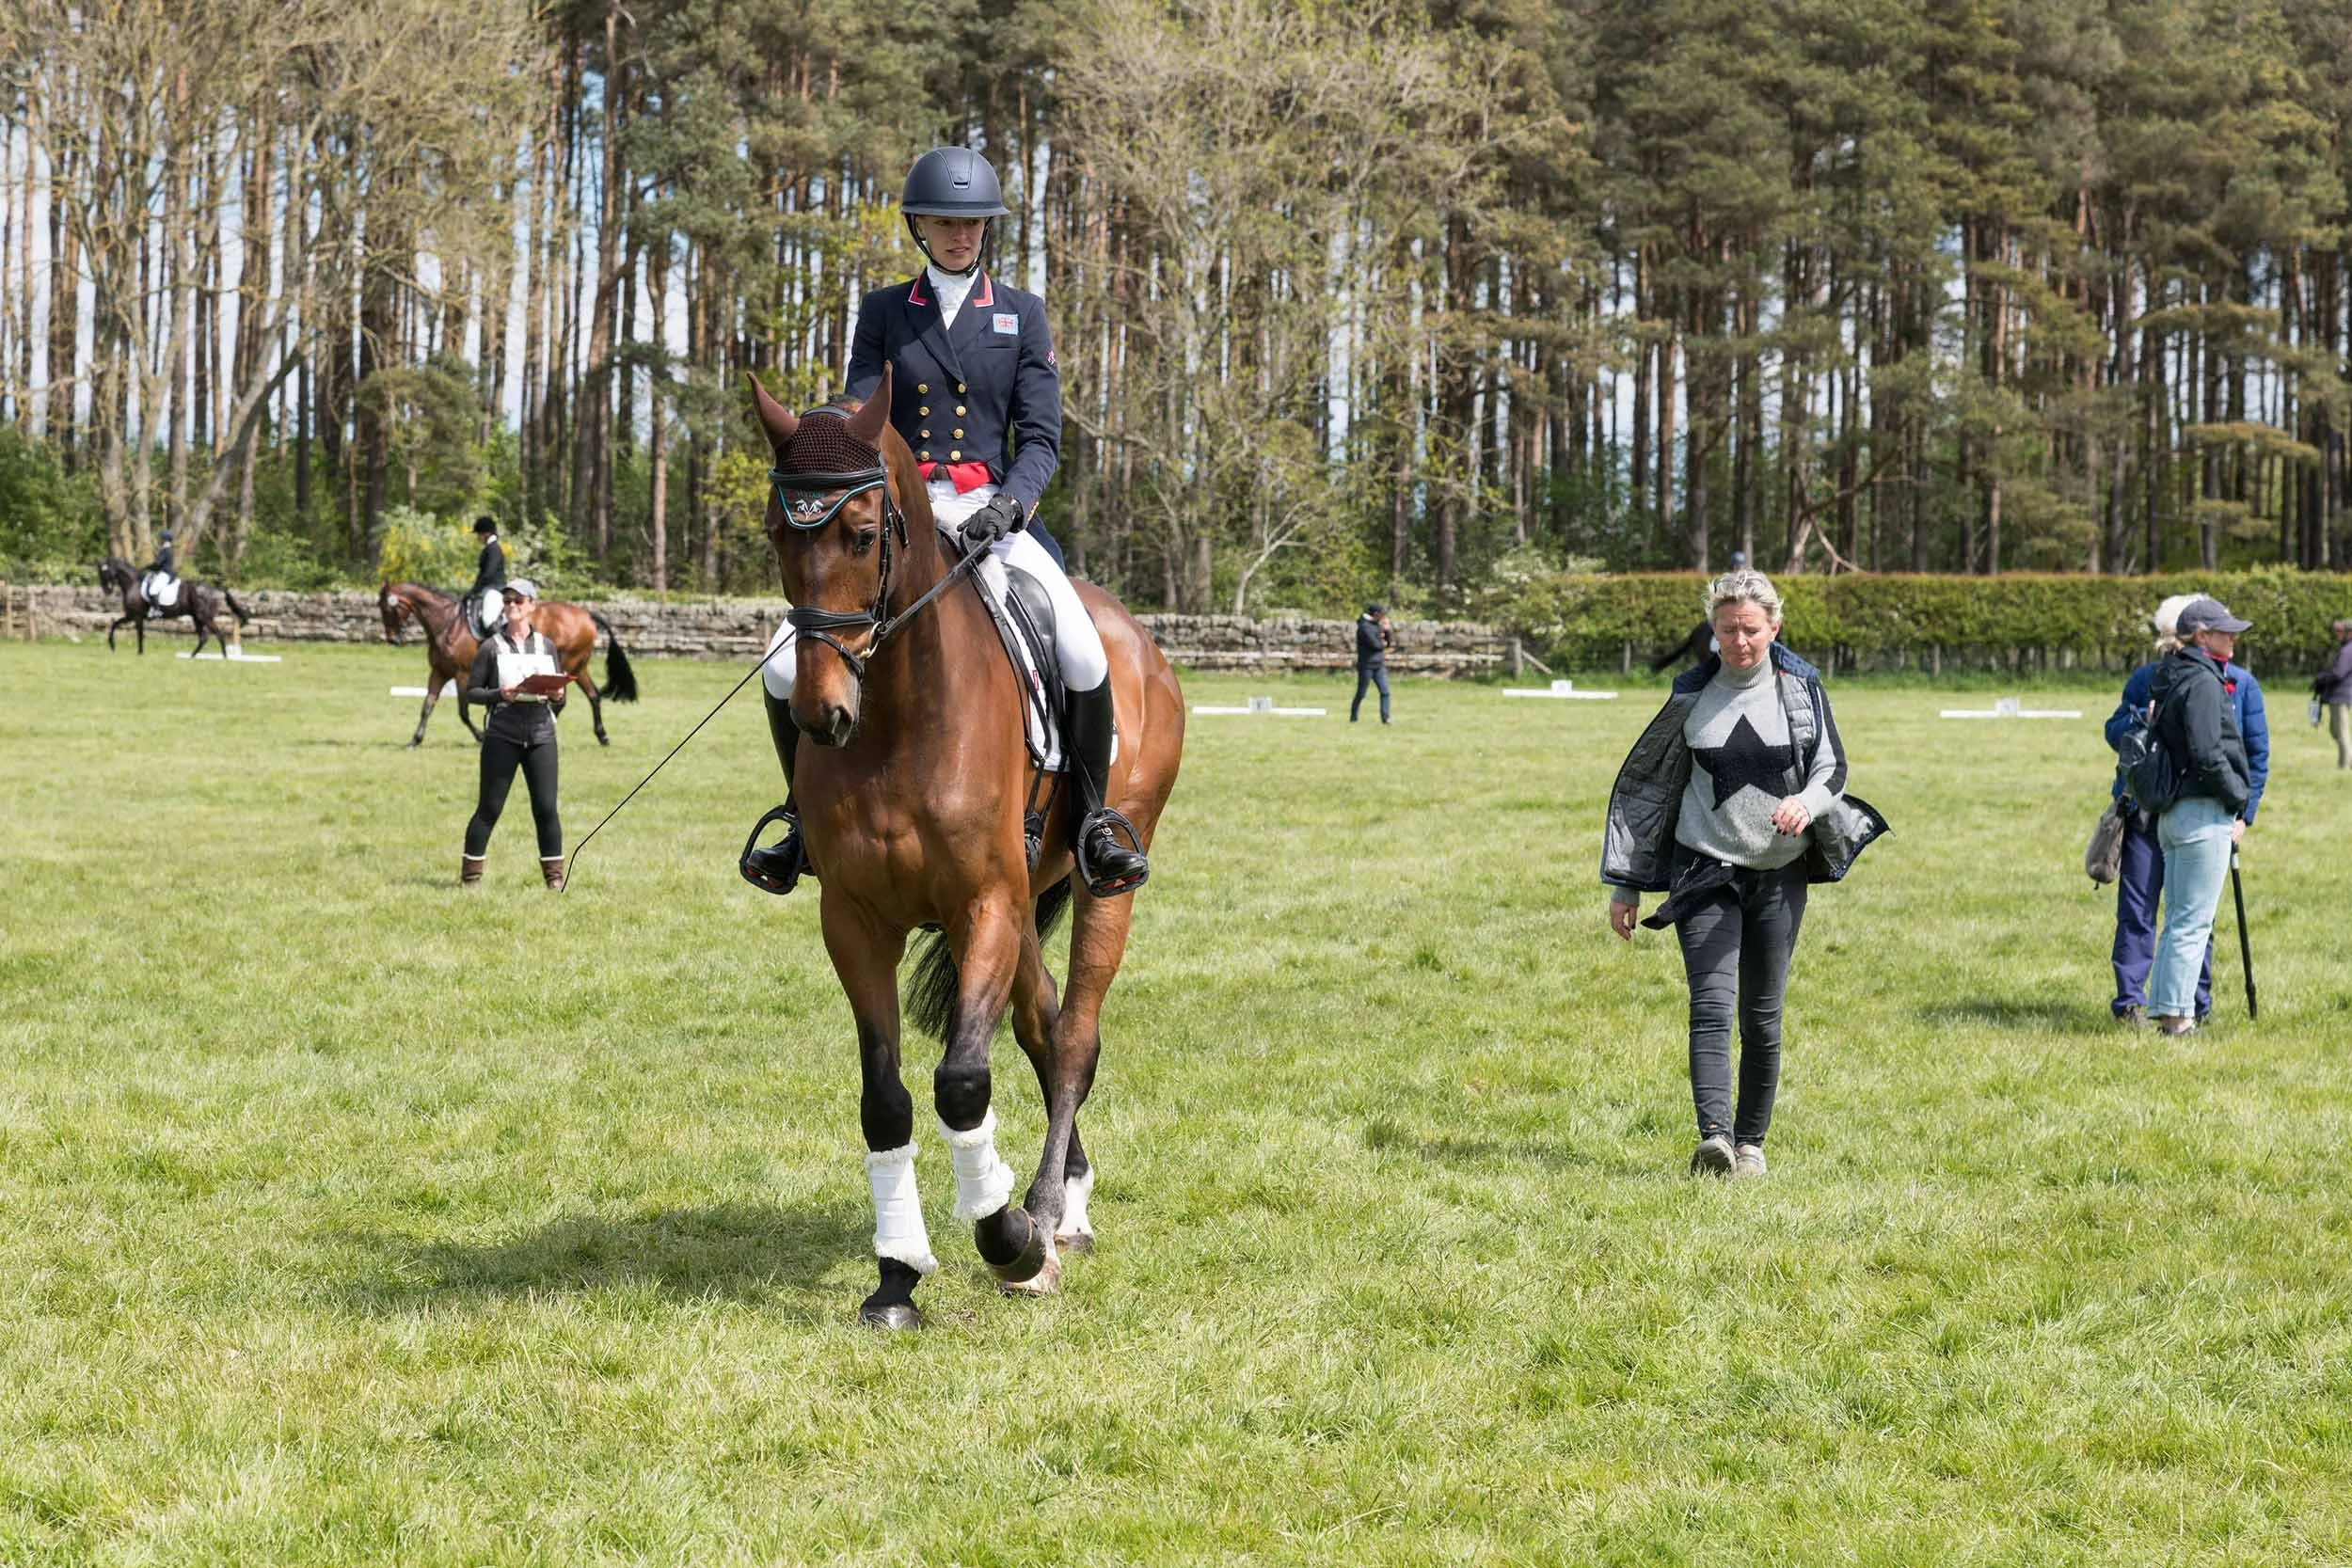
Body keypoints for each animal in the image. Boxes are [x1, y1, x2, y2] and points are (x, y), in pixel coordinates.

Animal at [96, 557, 251, 656]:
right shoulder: (132, 616)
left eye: (105, 572)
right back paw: (192, 657)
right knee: (204, 638)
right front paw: (120, 647)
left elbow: (133, 632)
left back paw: (224, 658)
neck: (133, 583)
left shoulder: (136, 616)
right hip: (197, 618)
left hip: (204, 617)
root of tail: (216, 589)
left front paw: (132, 651)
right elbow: (119, 626)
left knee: (219, 635)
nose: (106, 590)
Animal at [378, 581, 639, 748]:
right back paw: (602, 736)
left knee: (565, 700)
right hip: (578, 667)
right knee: (593, 696)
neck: (446, 623)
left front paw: (481, 736)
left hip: (565, 665)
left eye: (387, 608)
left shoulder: (463, 675)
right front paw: (414, 740)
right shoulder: (440, 672)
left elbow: (463, 712)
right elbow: (427, 706)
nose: (392, 640)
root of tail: (587, 615)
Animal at [747, 366, 1184, 1330]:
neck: (899, 718)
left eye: (862, 532)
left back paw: (1050, 1218)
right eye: (775, 533)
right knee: (1043, 1022)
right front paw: (896, 1277)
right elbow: (886, 1101)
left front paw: (1006, 1234)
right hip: (1022, 905)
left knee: (1074, 1036)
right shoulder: (855, 918)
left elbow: (961, 1083)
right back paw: (1067, 1199)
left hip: (1097, 883)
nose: (822, 715)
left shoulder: (983, 901)